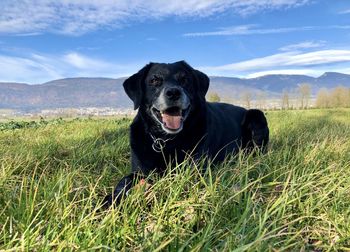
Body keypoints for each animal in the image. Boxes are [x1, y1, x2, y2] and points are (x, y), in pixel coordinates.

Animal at [102, 61, 270, 207]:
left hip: (256, 116)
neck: (165, 141)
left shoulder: (191, 170)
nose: (173, 92)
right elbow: (125, 180)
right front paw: (111, 199)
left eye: (185, 80)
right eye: (154, 80)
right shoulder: (140, 169)